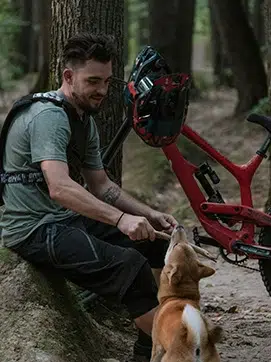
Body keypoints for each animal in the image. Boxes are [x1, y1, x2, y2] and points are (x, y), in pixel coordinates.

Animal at [151, 225, 223, 360]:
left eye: (175, 245)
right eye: (187, 244)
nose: (179, 226)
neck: (180, 296)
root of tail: (197, 346)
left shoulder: (157, 347)